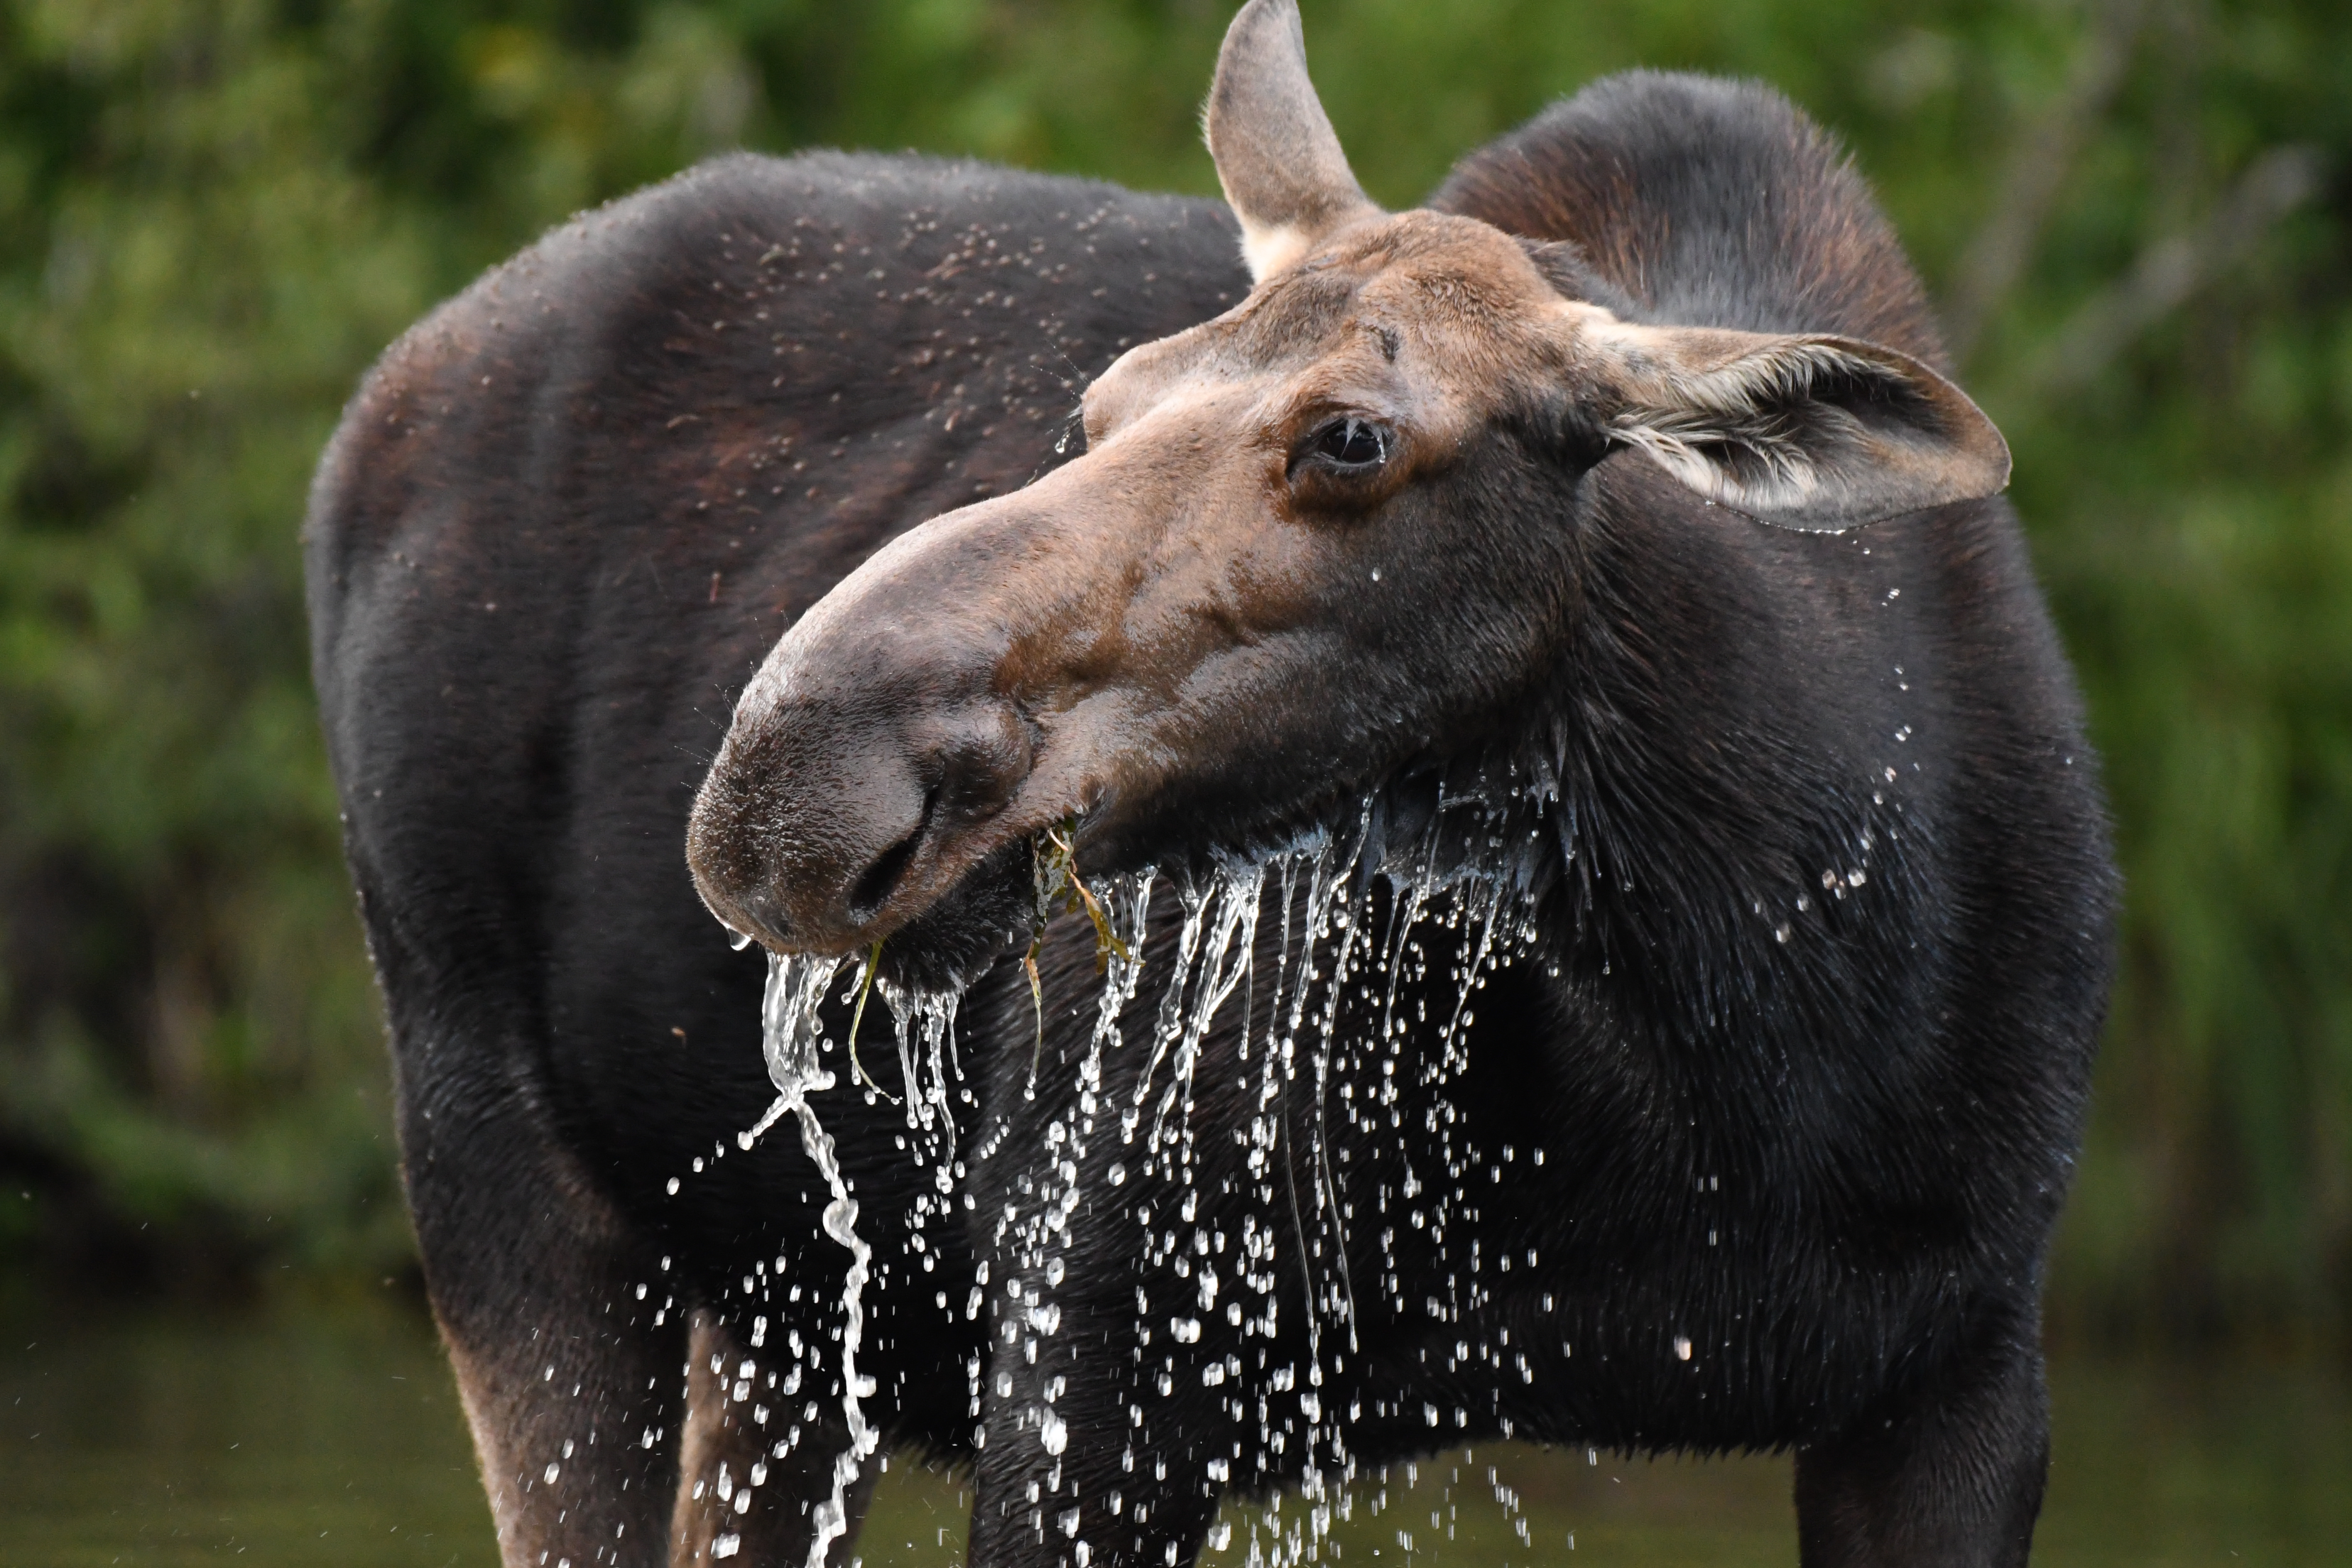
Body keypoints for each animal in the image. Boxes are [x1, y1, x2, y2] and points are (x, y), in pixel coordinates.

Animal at [308, 3, 2117, 1568]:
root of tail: (374, 401)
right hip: (499, 1166)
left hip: (777, 1305)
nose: (788, 782)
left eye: (1351, 437)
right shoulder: (1095, 1354)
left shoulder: (1960, 1378)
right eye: (1100, 400)